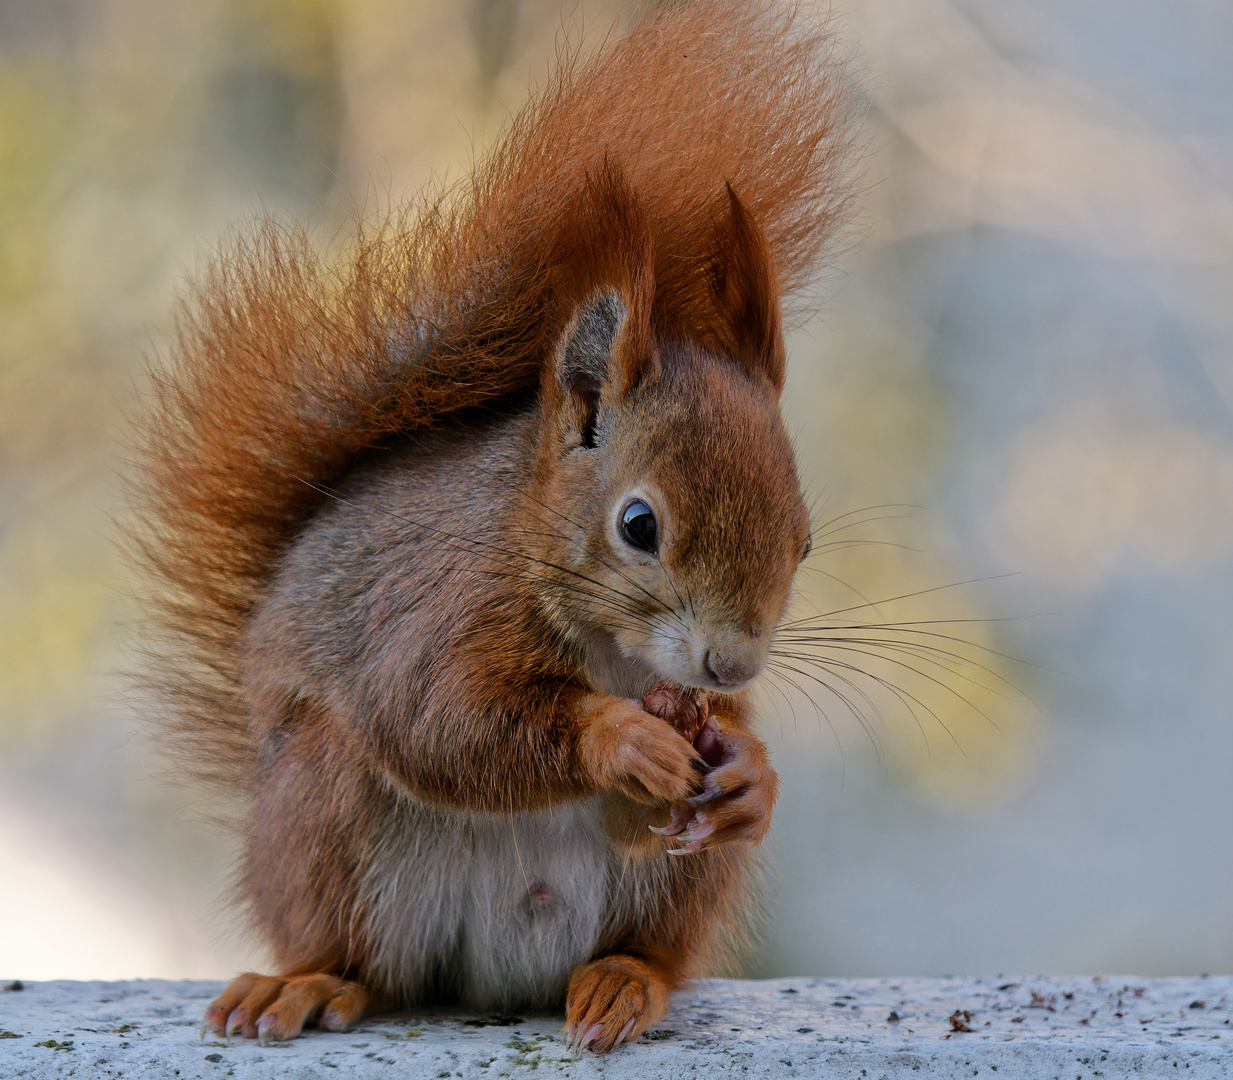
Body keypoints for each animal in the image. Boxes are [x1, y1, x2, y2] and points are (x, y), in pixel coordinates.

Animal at [127, 0, 858, 1055]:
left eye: (802, 540)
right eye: (638, 524)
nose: (730, 667)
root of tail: (494, 978)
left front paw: (748, 775)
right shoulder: (439, 610)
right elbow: (439, 717)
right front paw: (620, 739)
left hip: (671, 887)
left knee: (650, 946)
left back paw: (624, 982)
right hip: (324, 812)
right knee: (359, 954)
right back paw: (306, 984)